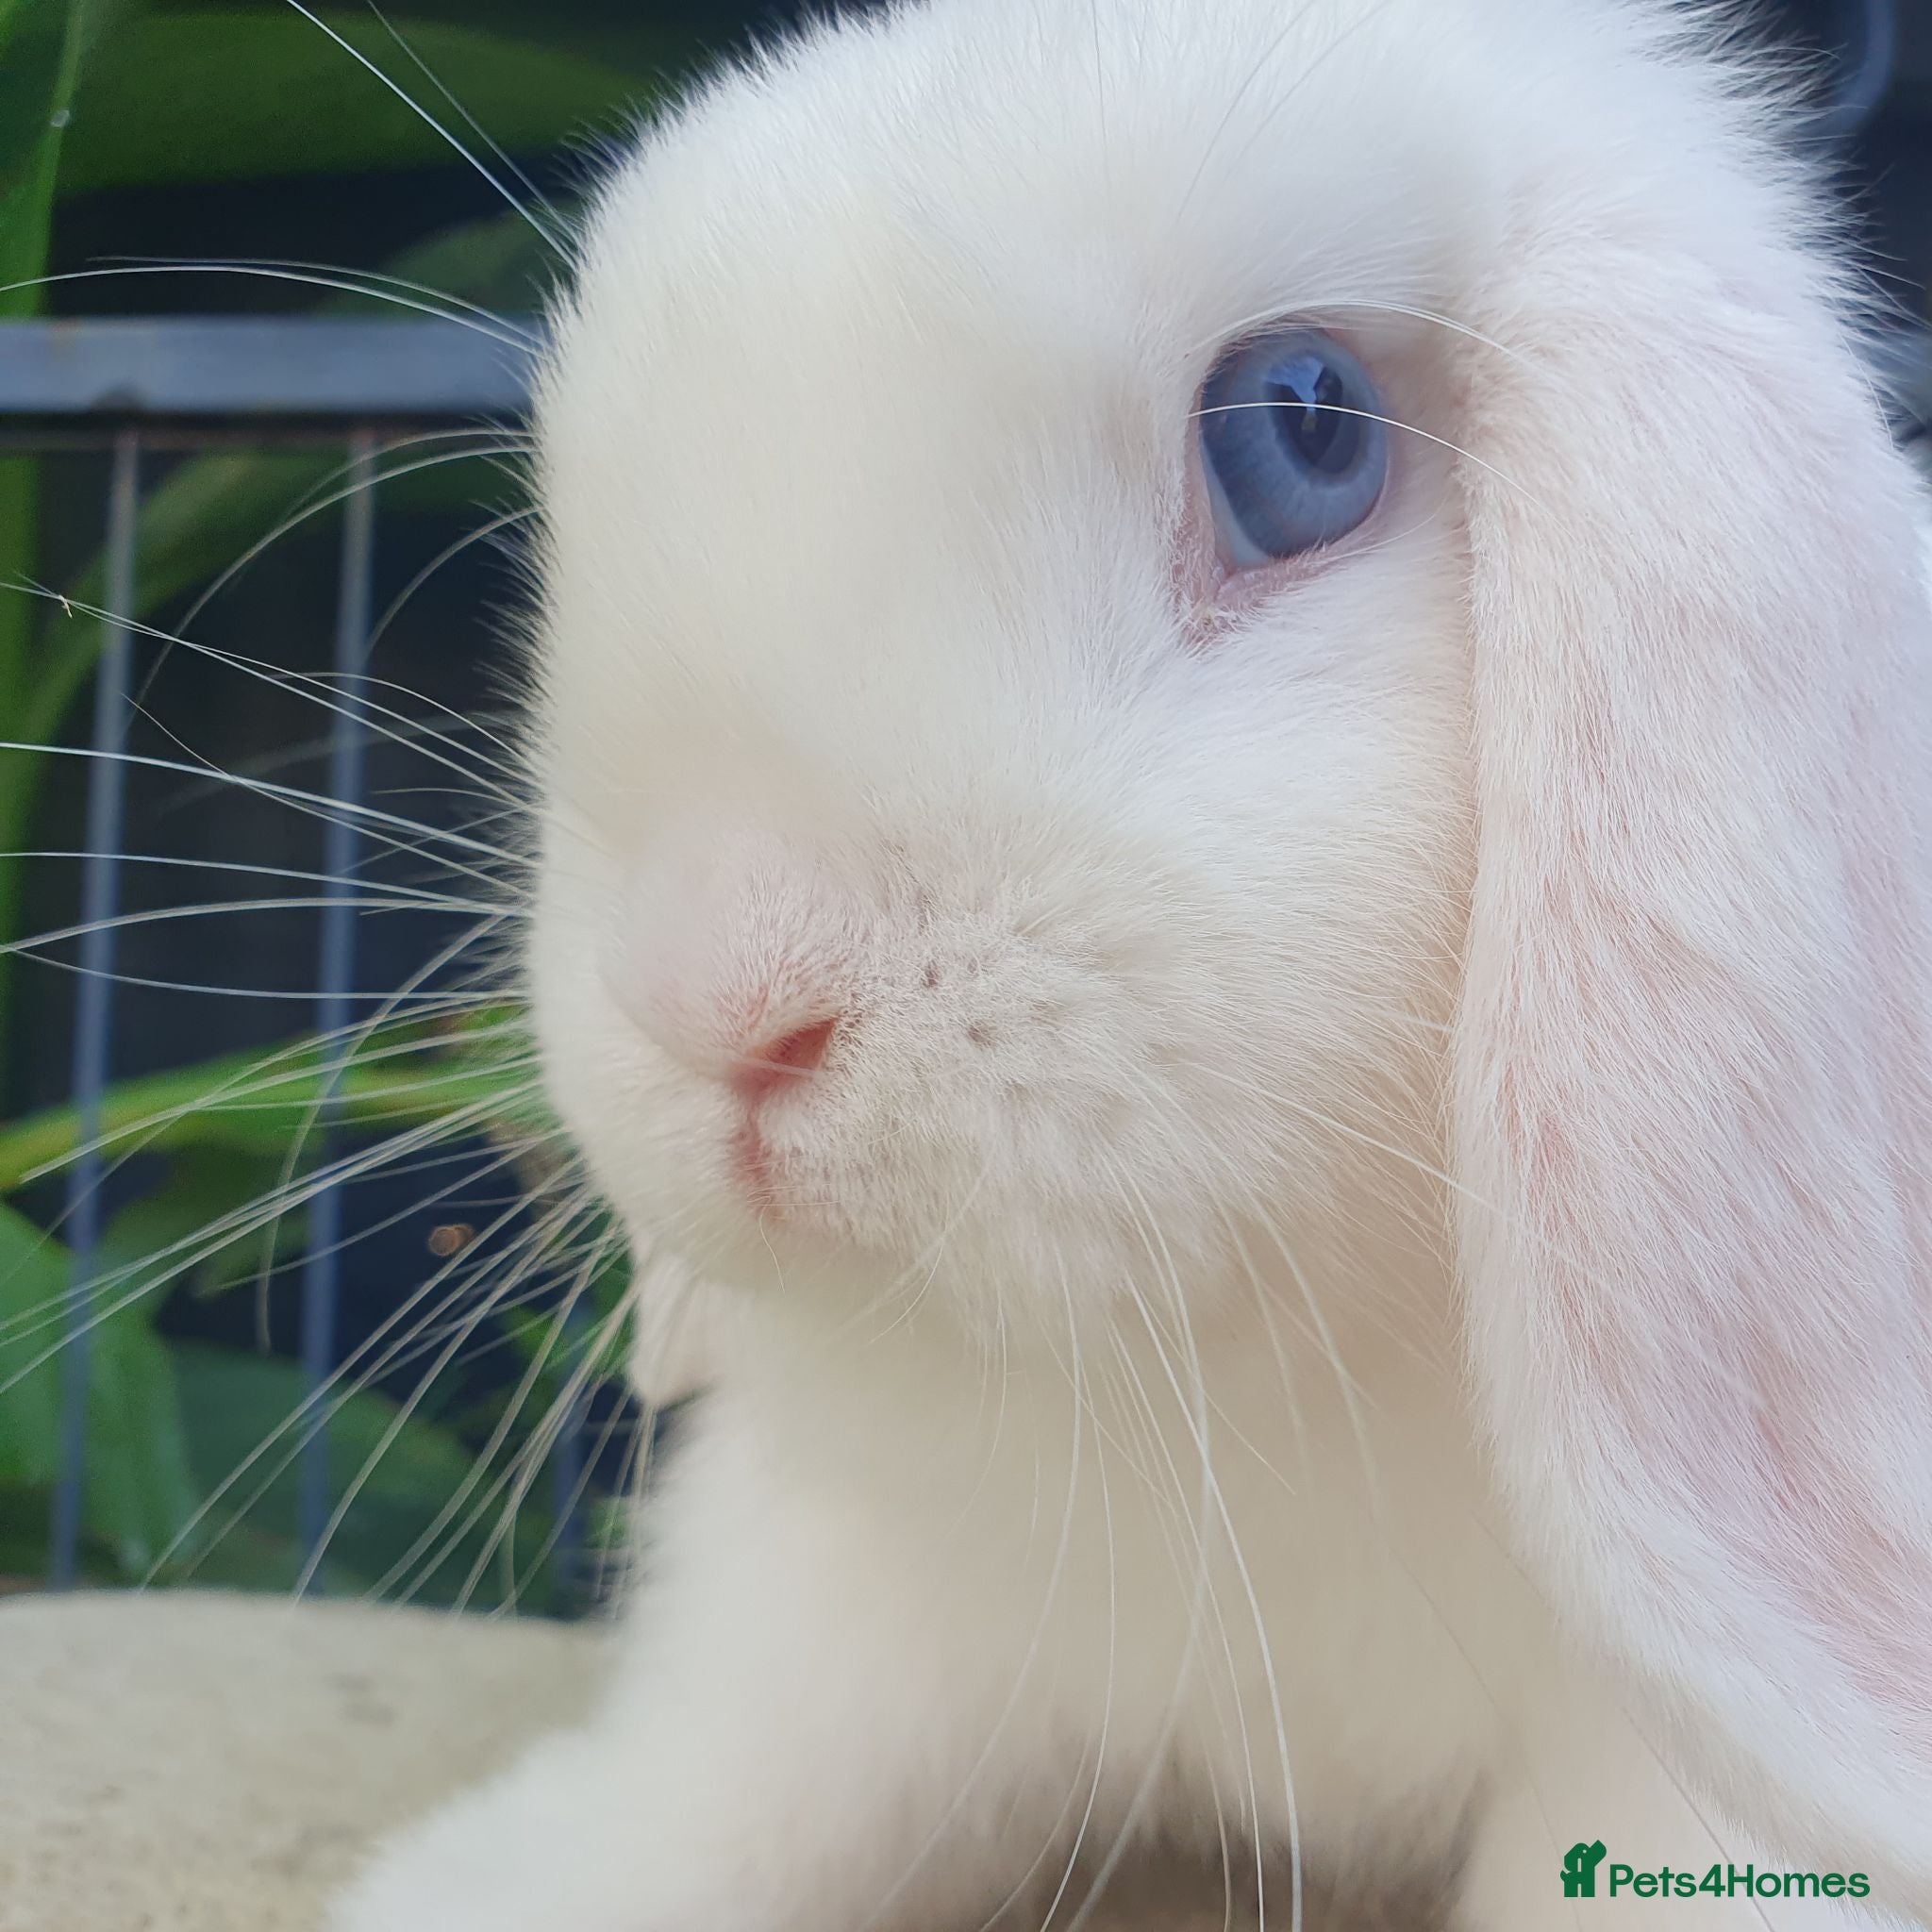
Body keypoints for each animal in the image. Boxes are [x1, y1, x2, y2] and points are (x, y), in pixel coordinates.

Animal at [328, 0, 1932, 1927]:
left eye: (1298, 432)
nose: (720, 1002)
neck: (1246, 1400)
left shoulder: (1665, 1768)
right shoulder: (857, 1610)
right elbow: (739, 1790)